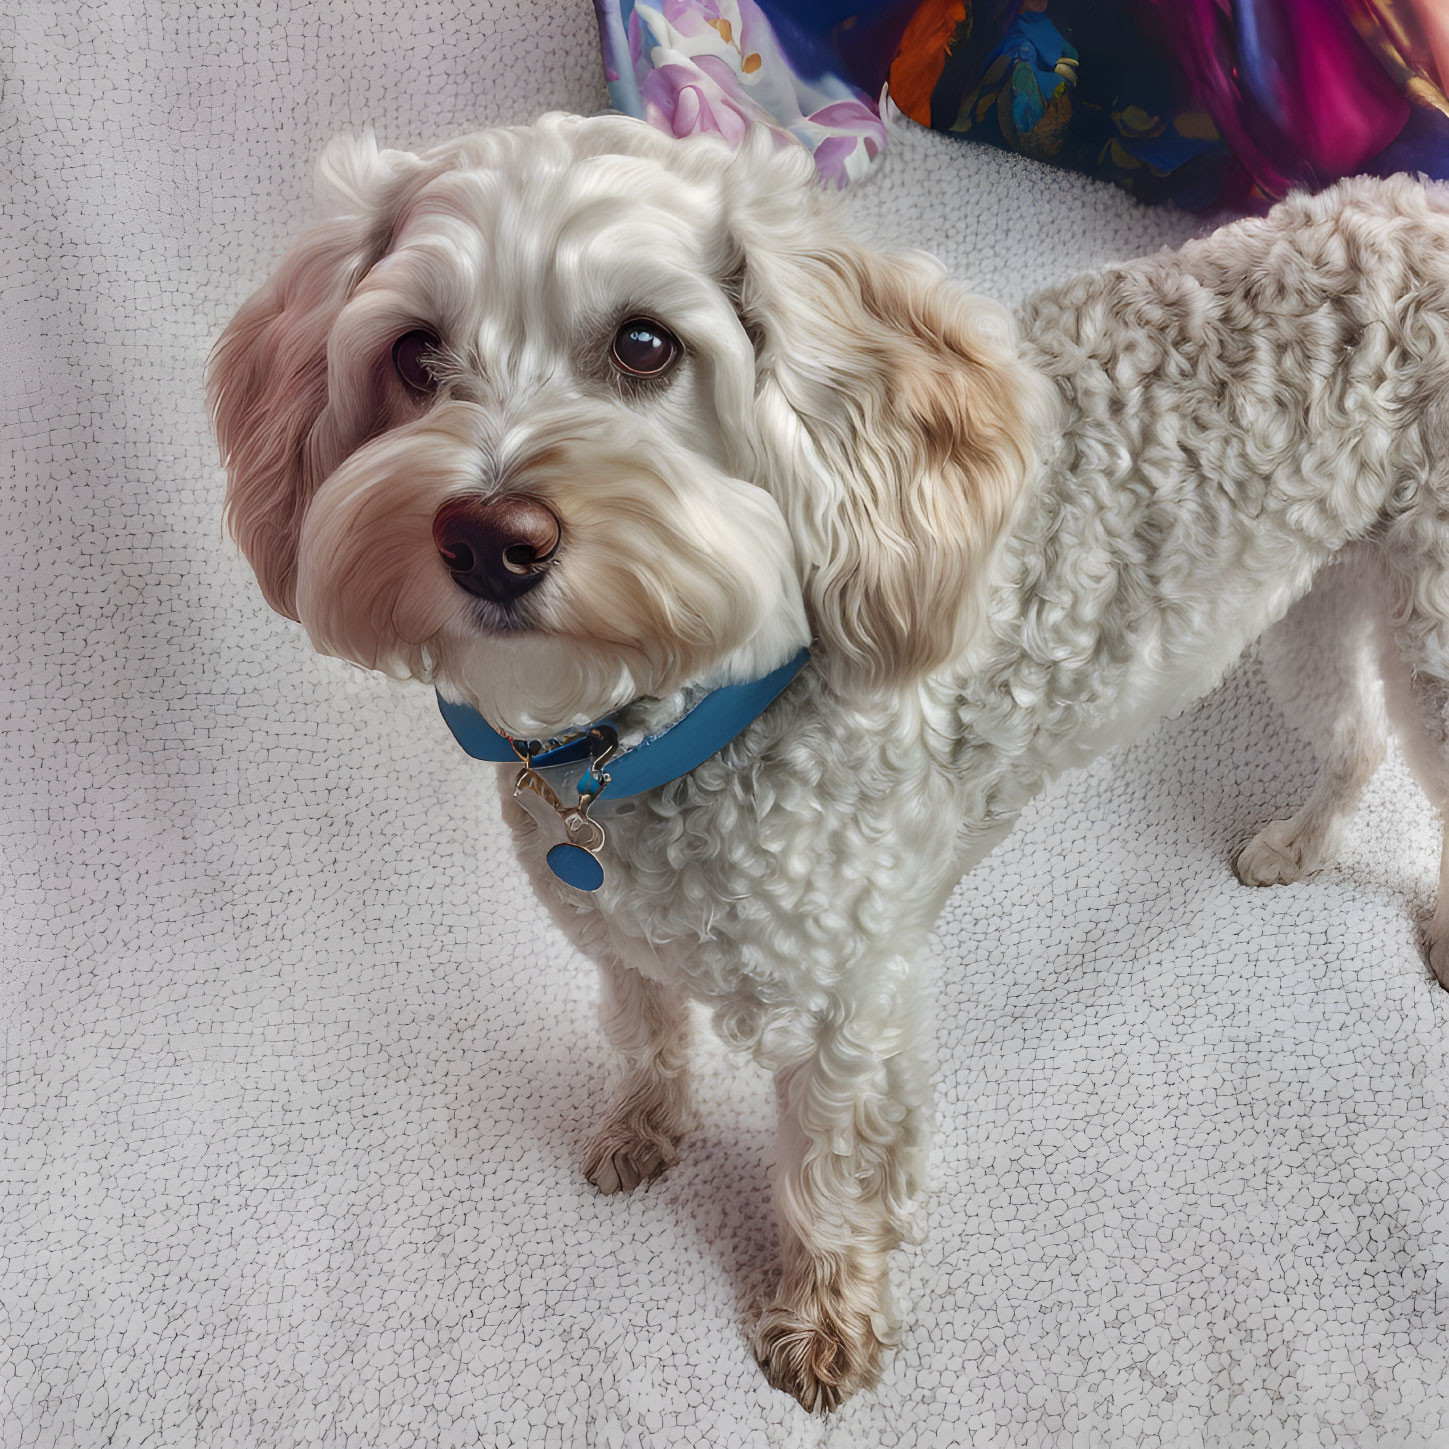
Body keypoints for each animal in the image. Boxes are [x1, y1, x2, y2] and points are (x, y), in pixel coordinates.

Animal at [210, 115, 1449, 1414]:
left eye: (645, 344)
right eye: (414, 350)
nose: (493, 539)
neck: (647, 744)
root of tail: (1415, 198)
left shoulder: (851, 1013)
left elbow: (835, 1184)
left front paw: (824, 1322)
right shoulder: (614, 939)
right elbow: (645, 1037)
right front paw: (645, 1131)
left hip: (1428, 633)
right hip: (1312, 603)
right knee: (1356, 740)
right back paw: (1298, 843)